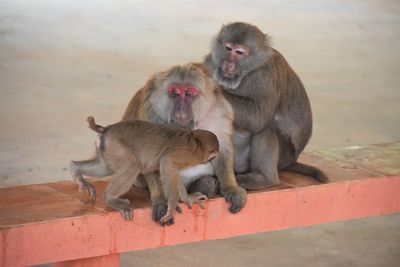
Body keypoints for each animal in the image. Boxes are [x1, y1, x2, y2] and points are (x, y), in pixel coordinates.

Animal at [69, 117, 219, 226]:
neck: (197, 142)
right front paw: (171, 209)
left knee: (105, 167)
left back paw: (76, 169)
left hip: (108, 148)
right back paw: (110, 198)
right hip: (115, 145)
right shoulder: (189, 155)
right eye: (213, 156)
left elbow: (174, 172)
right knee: (132, 166)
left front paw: (187, 198)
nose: (211, 161)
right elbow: (167, 163)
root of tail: (106, 129)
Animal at [122, 63, 247, 222]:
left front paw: (231, 187)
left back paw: (203, 186)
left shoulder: (219, 110)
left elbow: (222, 147)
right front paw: (161, 199)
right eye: (175, 93)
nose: (181, 108)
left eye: (188, 94)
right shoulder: (151, 111)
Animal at [203, 22, 328, 191]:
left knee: (268, 128)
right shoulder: (210, 61)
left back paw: (264, 178)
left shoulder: (265, 76)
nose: (228, 63)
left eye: (239, 52)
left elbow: (259, 117)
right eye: (228, 48)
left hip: (283, 156)